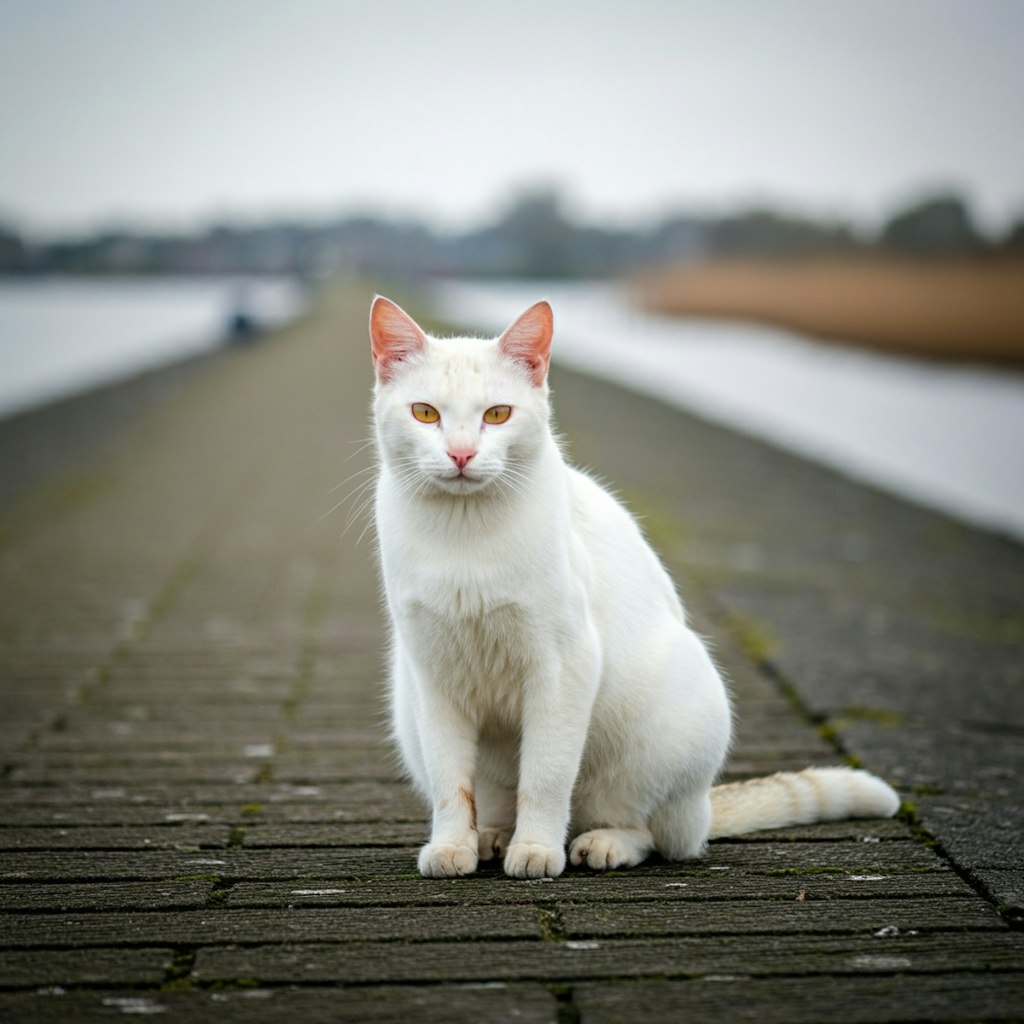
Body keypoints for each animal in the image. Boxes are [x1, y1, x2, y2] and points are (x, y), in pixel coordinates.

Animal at [368, 296, 897, 880]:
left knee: (654, 833)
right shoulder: (433, 677)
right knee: (498, 798)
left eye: (497, 415)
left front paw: (537, 850)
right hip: (407, 711)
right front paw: (451, 846)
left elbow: (546, 776)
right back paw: (493, 835)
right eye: (426, 414)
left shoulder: (565, 667)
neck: (464, 538)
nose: (461, 455)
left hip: (664, 724)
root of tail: (704, 807)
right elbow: (450, 782)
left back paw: (597, 844)